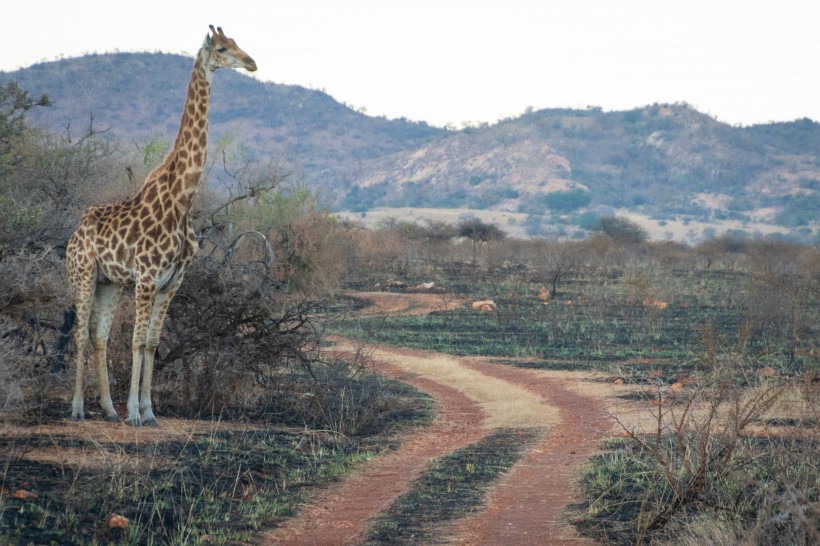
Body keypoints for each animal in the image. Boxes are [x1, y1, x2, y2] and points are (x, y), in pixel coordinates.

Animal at [67, 25, 258, 424]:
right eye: (222, 48)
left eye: (236, 44)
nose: (251, 62)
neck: (182, 201)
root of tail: (74, 234)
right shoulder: (147, 278)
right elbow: (138, 341)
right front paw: (136, 413)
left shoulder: (172, 282)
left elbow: (153, 343)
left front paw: (149, 411)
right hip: (84, 274)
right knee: (80, 334)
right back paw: (78, 408)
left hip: (109, 283)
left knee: (100, 336)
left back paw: (108, 409)